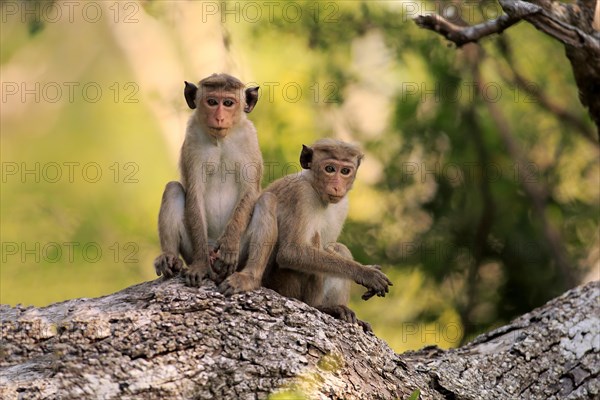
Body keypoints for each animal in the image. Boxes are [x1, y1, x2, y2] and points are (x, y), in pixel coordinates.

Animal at [154, 73, 262, 286]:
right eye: (212, 102)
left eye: (228, 103)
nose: (219, 117)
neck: (221, 140)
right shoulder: (192, 140)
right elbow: (194, 192)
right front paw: (200, 265)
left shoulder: (250, 139)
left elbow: (250, 190)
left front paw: (229, 244)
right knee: (172, 189)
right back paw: (170, 259)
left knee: (268, 200)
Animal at [218, 140, 392, 332]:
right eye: (329, 169)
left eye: (345, 171)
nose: (337, 186)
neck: (316, 189)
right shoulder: (301, 195)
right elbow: (290, 252)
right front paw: (365, 273)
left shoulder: (342, 205)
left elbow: (329, 248)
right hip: (281, 283)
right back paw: (320, 307)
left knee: (339, 249)